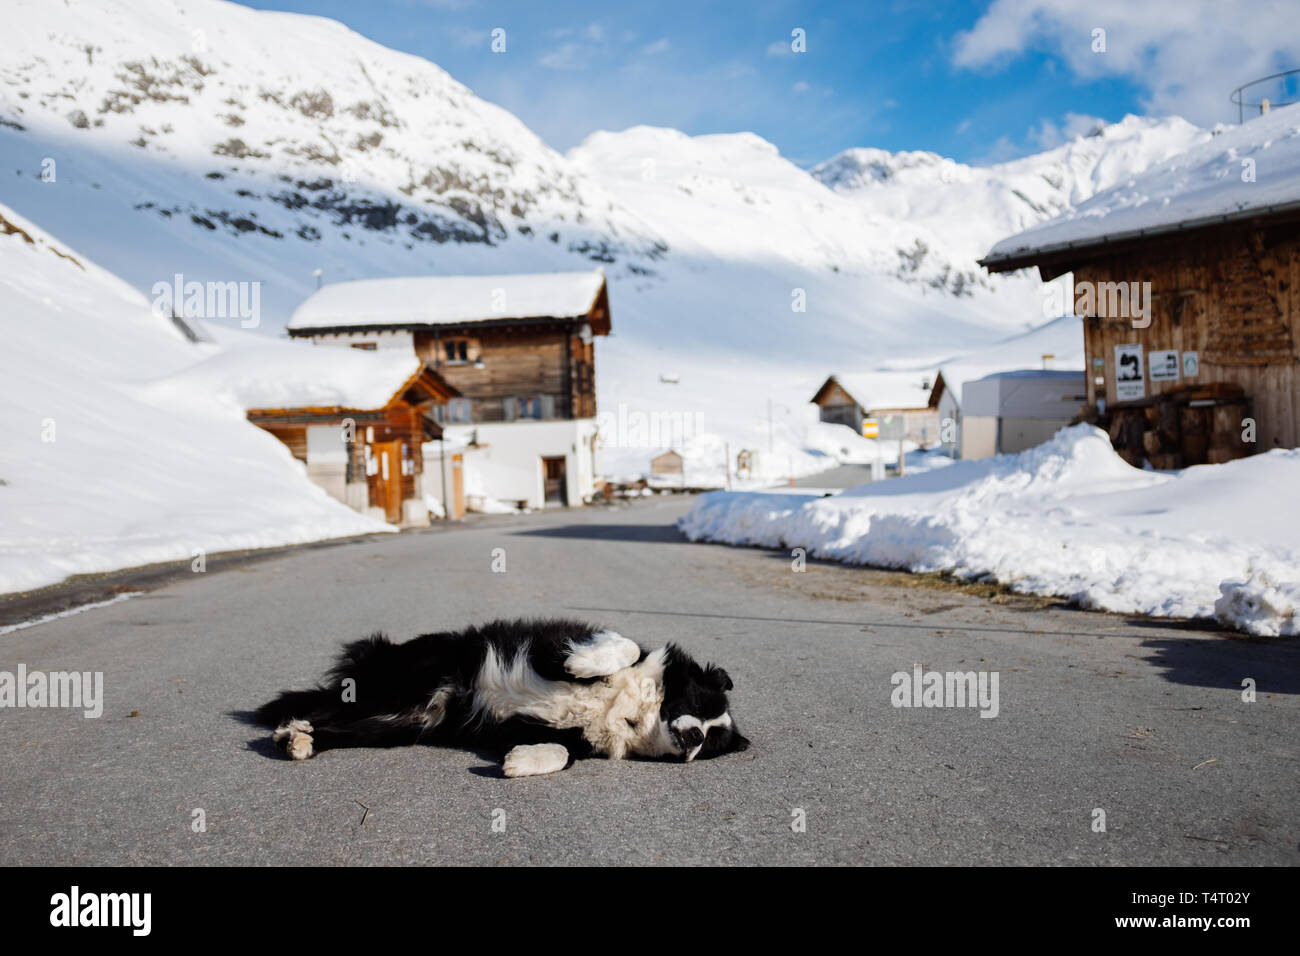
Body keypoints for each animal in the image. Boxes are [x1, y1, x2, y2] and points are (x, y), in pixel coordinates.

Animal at [250, 621, 754, 780]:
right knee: (325, 704)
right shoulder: (549, 645)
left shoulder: (550, 732)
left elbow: (563, 752)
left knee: (337, 724)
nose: (694, 739)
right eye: (699, 704)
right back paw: (287, 728)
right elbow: (623, 648)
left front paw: (519, 763)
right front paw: (585, 665)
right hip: (404, 682)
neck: (633, 714)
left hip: (399, 724)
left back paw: (297, 739)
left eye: (712, 743)